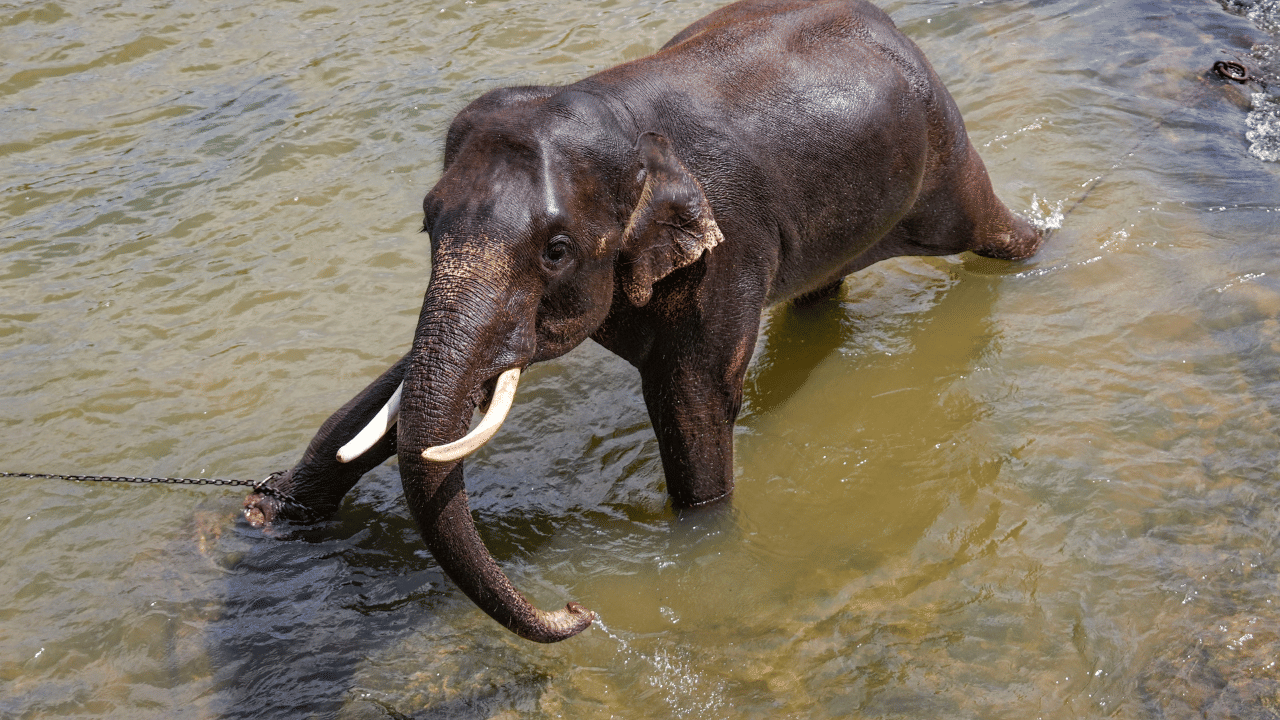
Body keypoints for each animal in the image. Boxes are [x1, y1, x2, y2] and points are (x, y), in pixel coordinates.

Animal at [242, 0, 1043, 643]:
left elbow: (692, 399)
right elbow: (400, 387)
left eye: (556, 250)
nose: (579, 611)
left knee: (991, 230)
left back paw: (1042, 252)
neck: (625, 123)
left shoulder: (725, 249)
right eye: (427, 223)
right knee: (821, 291)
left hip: (944, 156)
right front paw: (266, 517)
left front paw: (704, 556)